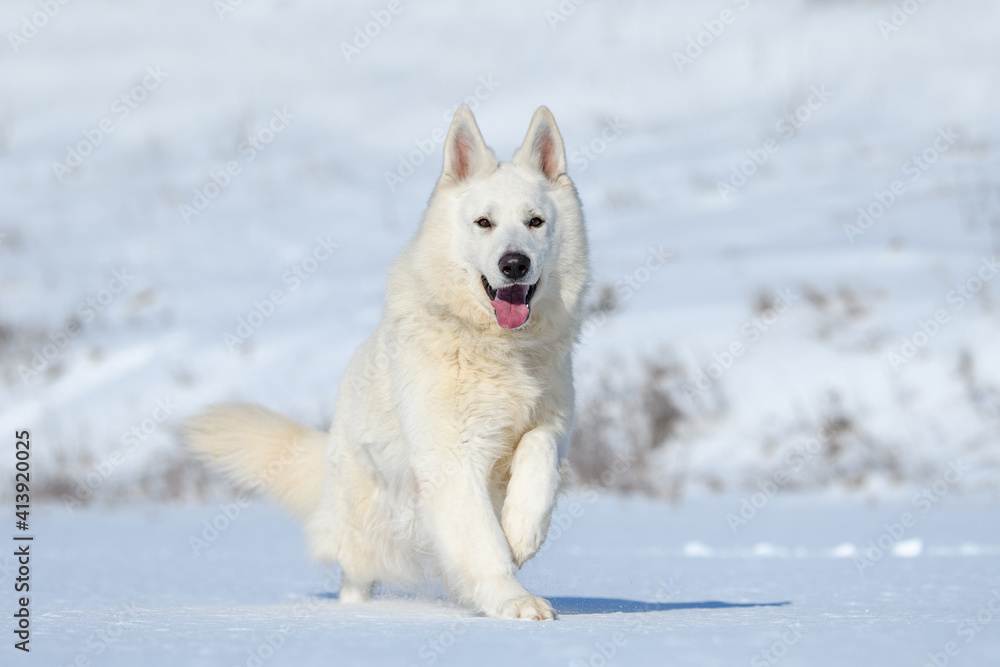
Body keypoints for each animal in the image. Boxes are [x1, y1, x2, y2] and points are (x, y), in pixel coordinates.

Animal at [187, 104, 588, 620]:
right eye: (484, 223)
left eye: (535, 221)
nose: (514, 264)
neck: (496, 347)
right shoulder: (452, 458)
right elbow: (482, 543)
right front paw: (513, 600)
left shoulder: (551, 424)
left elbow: (537, 456)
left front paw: (521, 533)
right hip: (365, 525)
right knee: (355, 576)